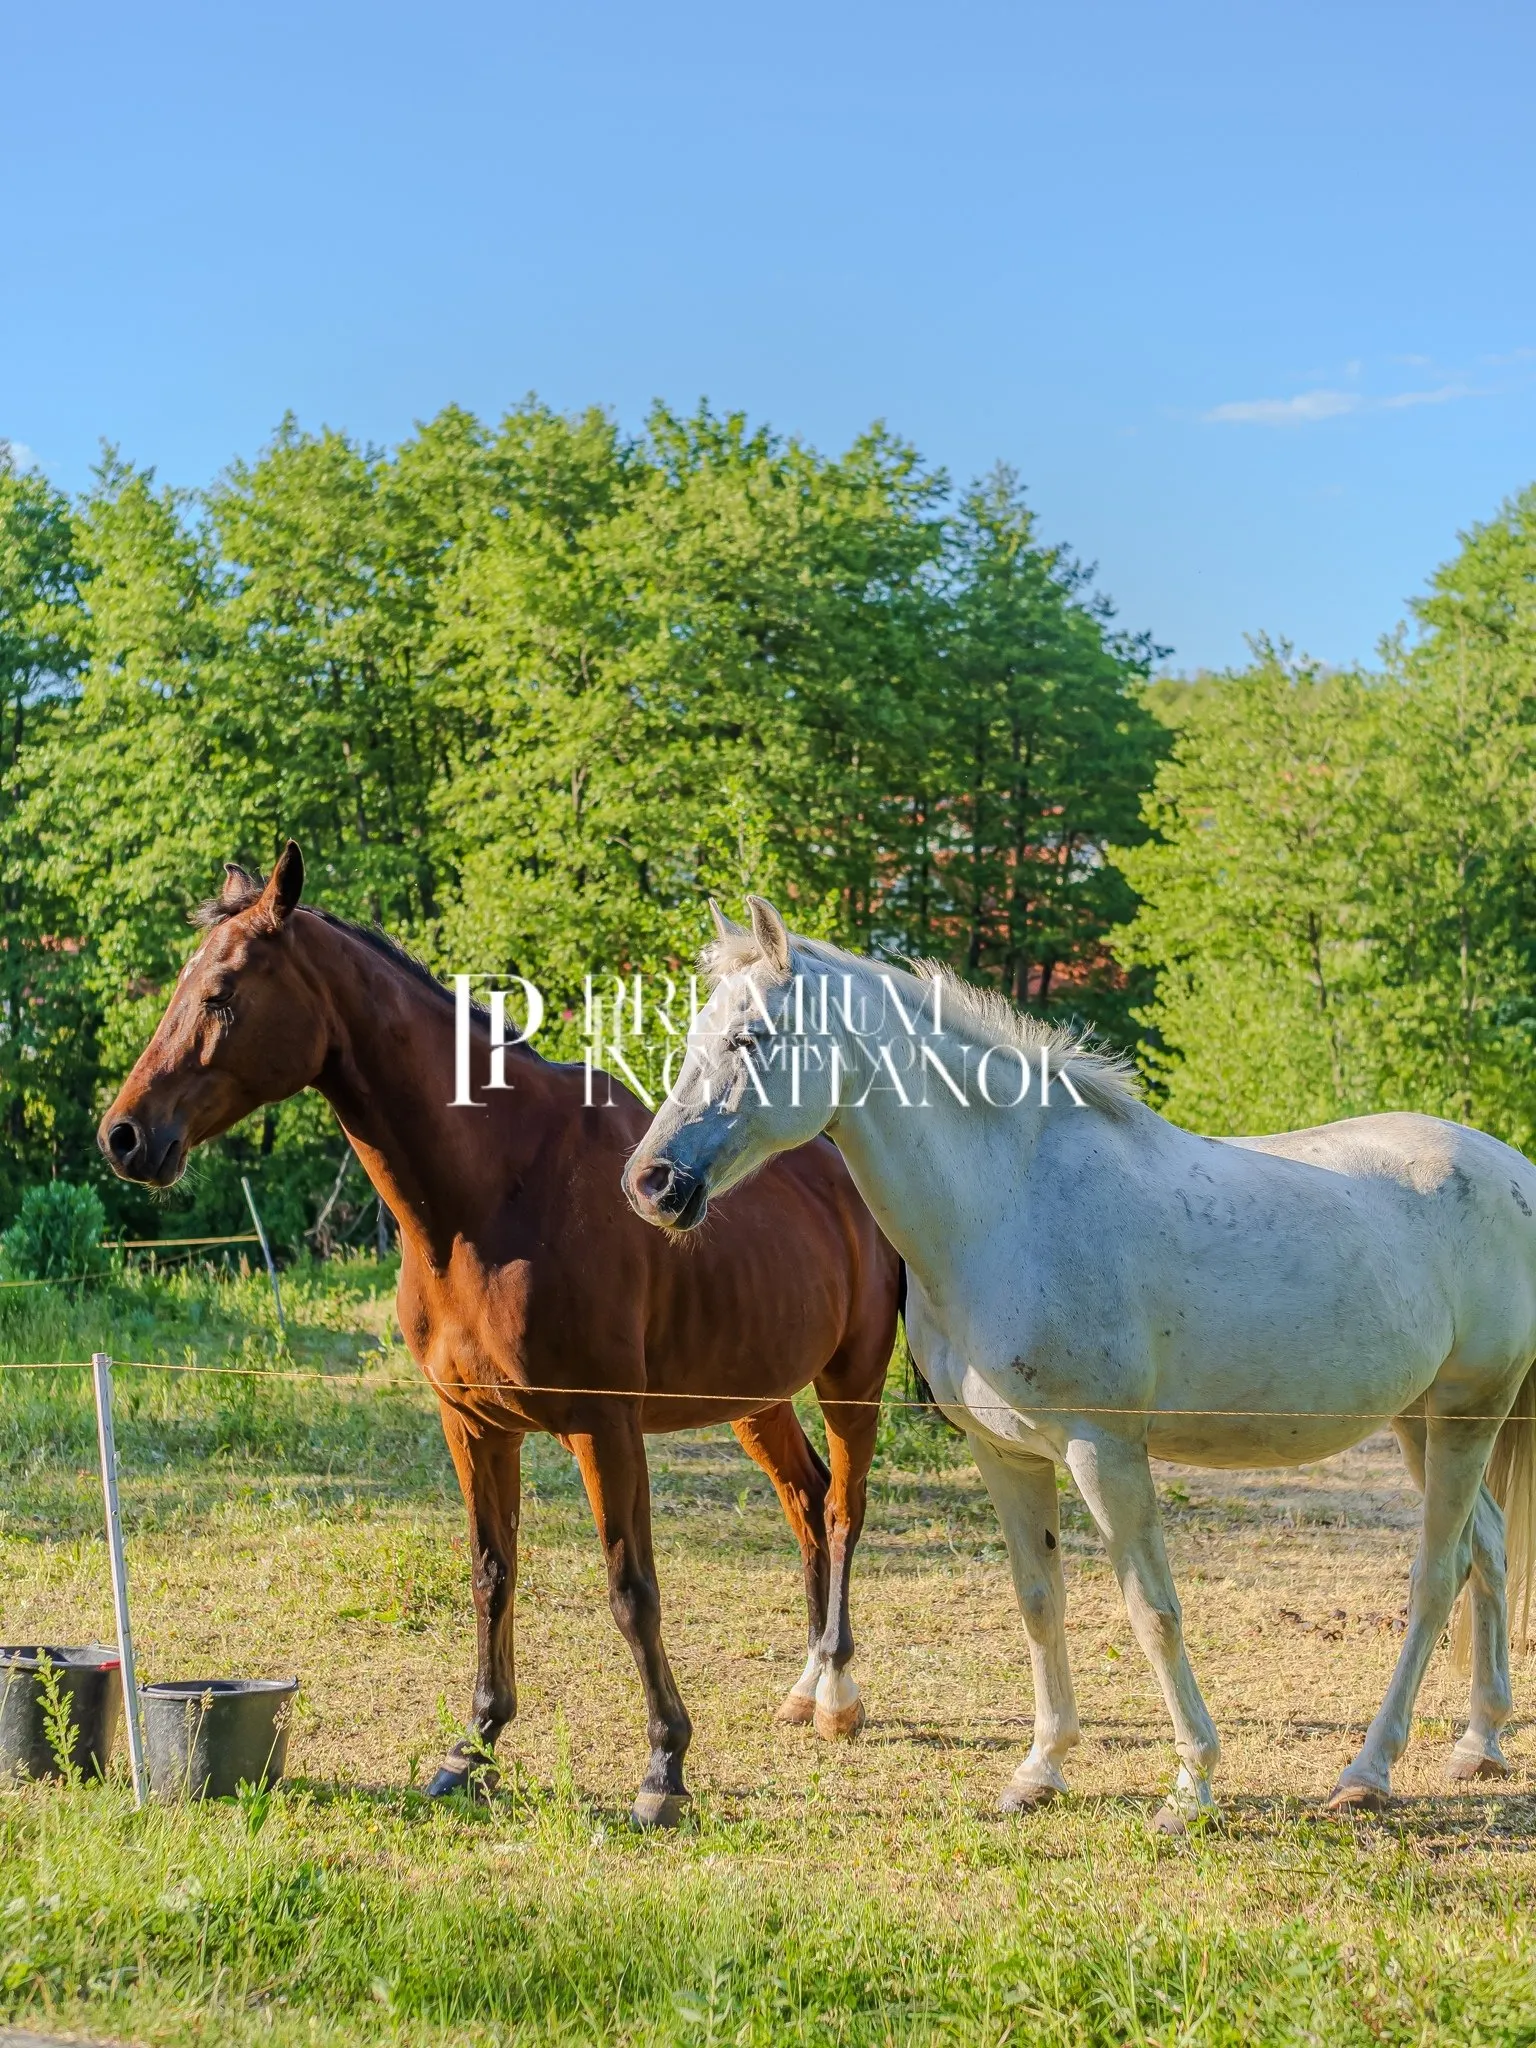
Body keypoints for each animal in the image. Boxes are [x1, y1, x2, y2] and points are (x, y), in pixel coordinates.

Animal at [98, 847, 901, 1827]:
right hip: (754, 1396)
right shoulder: (473, 1424)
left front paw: (663, 1769)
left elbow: (631, 1589)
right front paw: (472, 1748)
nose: (125, 1136)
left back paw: (838, 1695)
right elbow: (491, 1574)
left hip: (851, 1381)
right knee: (805, 1501)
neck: (493, 1197)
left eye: (220, 993)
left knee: (843, 1509)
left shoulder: (605, 1426)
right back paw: (804, 1684)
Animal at [624, 895, 1536, 1830]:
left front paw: (1192, 1784)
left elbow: (1152, 1609)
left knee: (1438, 1574)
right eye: (697, 1032)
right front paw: (1041, 1768)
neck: (1009, 1205)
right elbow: (1039, 1601)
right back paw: (1479, 1742)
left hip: (1465, 1414)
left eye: (753, 1037)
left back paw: (1368, 1770)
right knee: (1489, 1550)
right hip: (1421, 1422)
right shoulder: (1007, 1454)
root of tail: (1513, 1169)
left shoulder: (1107, 1452)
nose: (652, 1183)